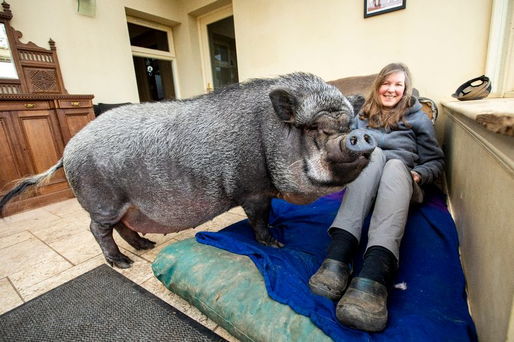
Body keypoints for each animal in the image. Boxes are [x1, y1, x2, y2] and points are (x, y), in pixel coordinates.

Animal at [1, 73, 376, 268]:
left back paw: (146, 246)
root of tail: (67, 150)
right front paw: (277, 245)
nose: (357, 136)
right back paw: (125, 264)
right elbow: (259, 218)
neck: (268, 136)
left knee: (121, 226)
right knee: (97, 229)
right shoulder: (253, 189)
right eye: (315, 129)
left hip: (124, 203)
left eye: (350, 123)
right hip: (102, 199)